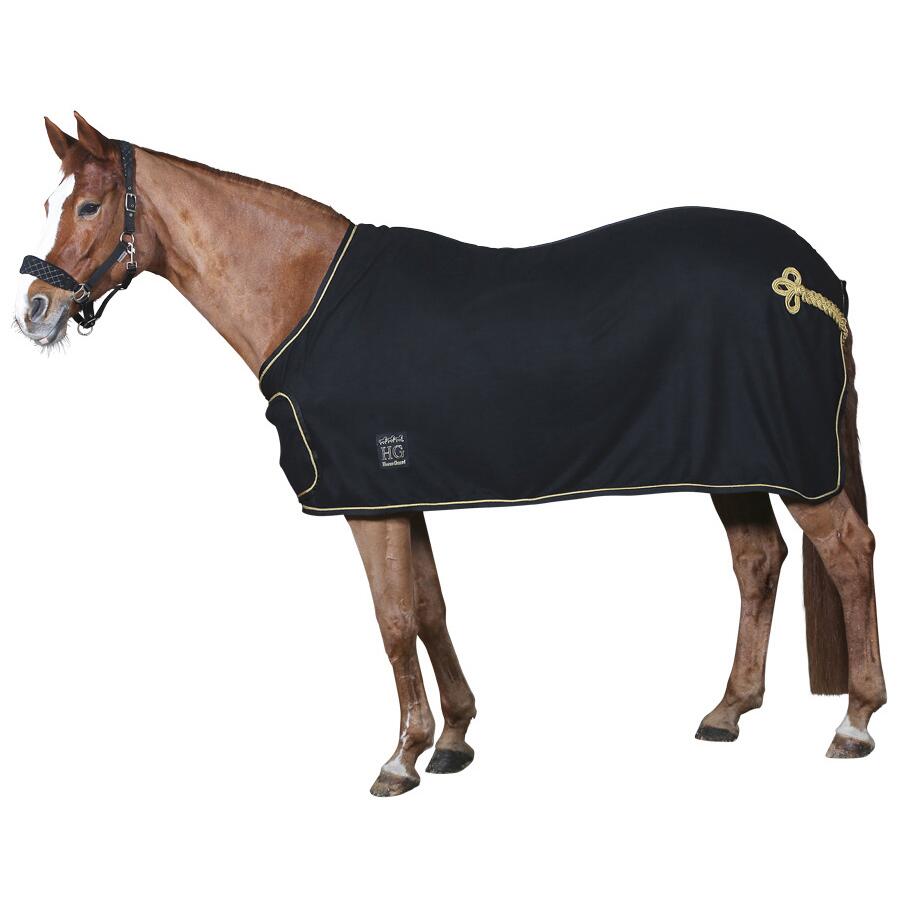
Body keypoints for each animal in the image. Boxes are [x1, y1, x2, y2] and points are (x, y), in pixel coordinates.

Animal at [15, 113, 887, 796]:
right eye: (52, 202)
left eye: (88, 204)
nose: (35, 310)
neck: (305, 296)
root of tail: (811, 280)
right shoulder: (401, 493)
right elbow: (430, 606)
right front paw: (455, 738)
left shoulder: (365, 500)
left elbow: (394, 618)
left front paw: (399, 757)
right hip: (735, 461)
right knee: (758, 560)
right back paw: (728, 711)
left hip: (795, 465)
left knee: (848, 551)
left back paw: (855, 722)